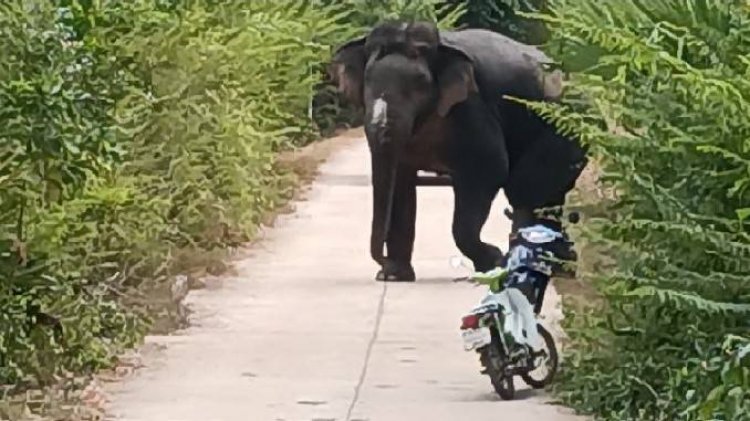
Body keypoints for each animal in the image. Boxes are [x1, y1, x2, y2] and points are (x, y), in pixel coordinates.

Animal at [332, 21, 592, 280]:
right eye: (367, 79)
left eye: (420, 81)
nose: (382, 264)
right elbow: (400, 183)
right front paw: (394, 275)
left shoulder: (472, 109)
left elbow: (488, 170)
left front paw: (492, 261)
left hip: (562, 130)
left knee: (527, 190)